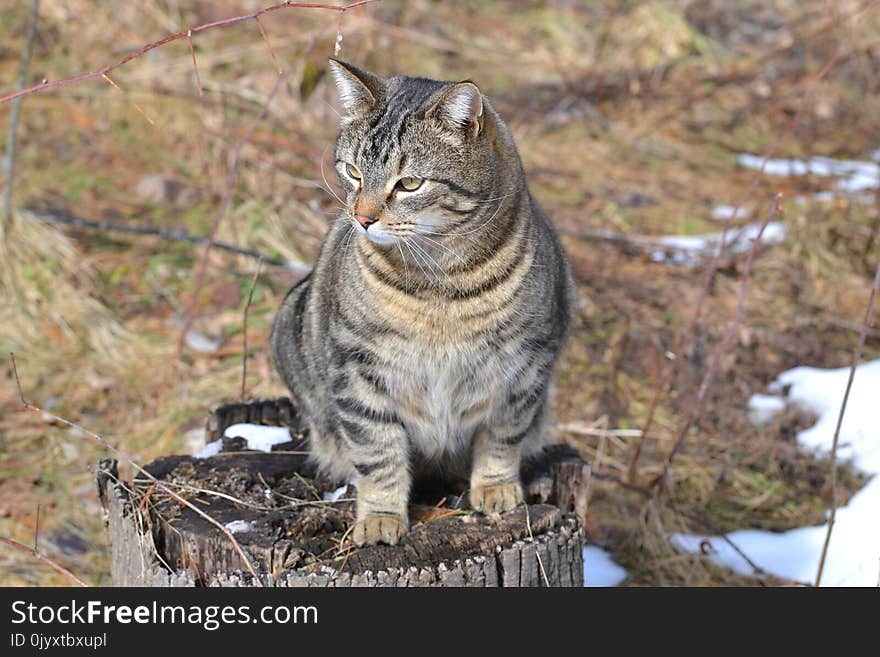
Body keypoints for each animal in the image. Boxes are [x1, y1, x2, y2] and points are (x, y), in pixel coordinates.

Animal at [276, 59, 576, 544]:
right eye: (353, 171)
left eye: (410, 184)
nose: (362, 218)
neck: (441, 285)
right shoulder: (357, 370)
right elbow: (377, 452)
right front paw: (380, 517)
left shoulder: (525, 368)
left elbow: (502, 437)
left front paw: (496, 489)